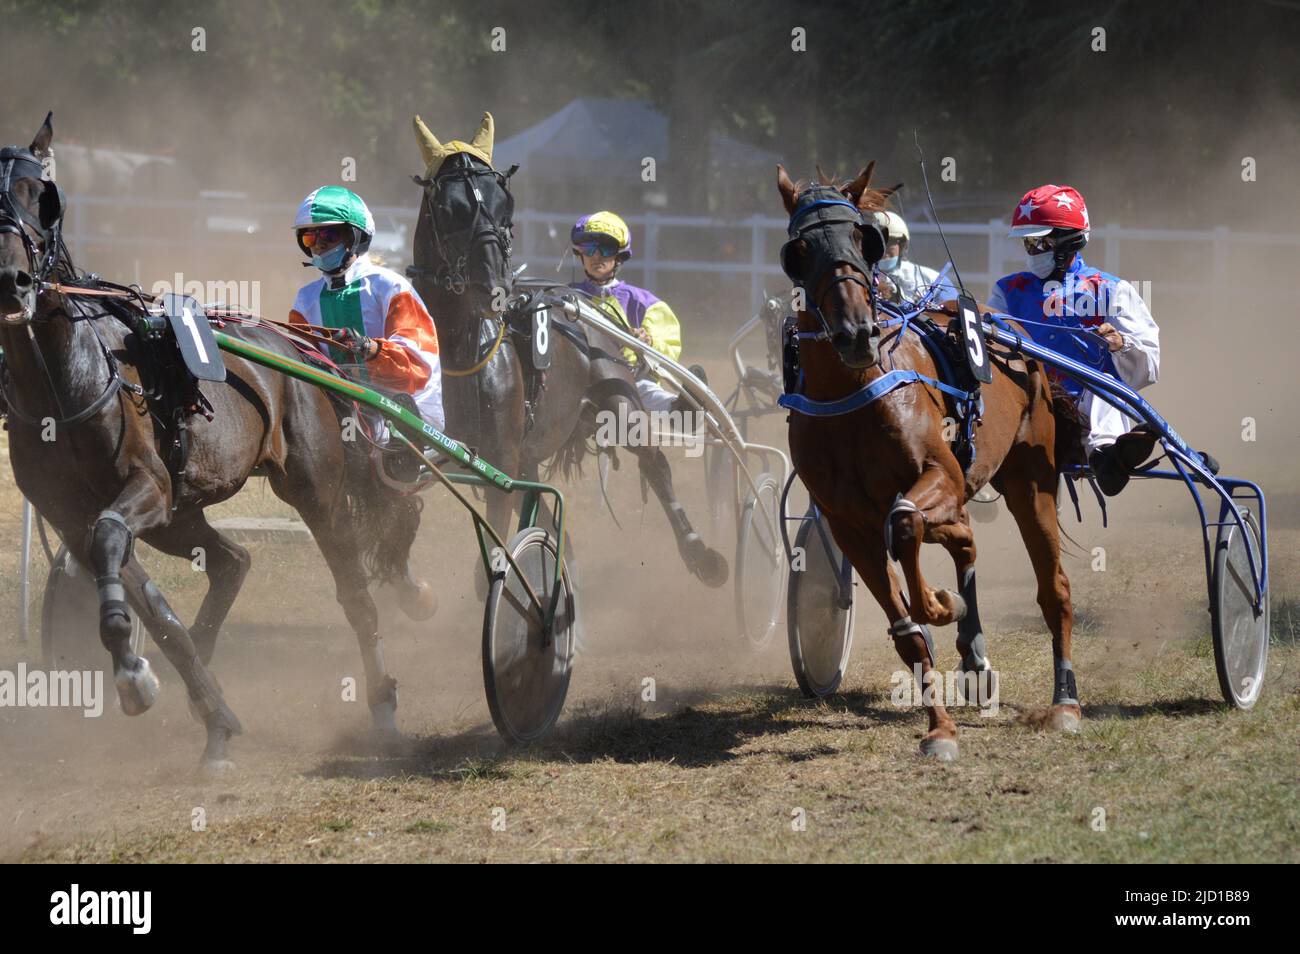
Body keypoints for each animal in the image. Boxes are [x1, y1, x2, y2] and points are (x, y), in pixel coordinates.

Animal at [410, 113, 728, 590]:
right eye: (448, 210)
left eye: (505, 206)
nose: (496, 287)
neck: (460, 348)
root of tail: (587, 302)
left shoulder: (500, 458)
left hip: (618, 398)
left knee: (655, 464)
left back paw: (700, 553)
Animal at [774, 164, 1081, 764]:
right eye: (798, 251)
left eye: (862, 239)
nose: (856, 332)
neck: (853, 390)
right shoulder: (847, 523)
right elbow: (906, 628)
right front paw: (940, 725)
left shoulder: (938, 474)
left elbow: (905, 523)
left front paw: (941, 604)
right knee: (958, 539)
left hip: (1030, 480)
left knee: (1051, 585)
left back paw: (1064, 702)